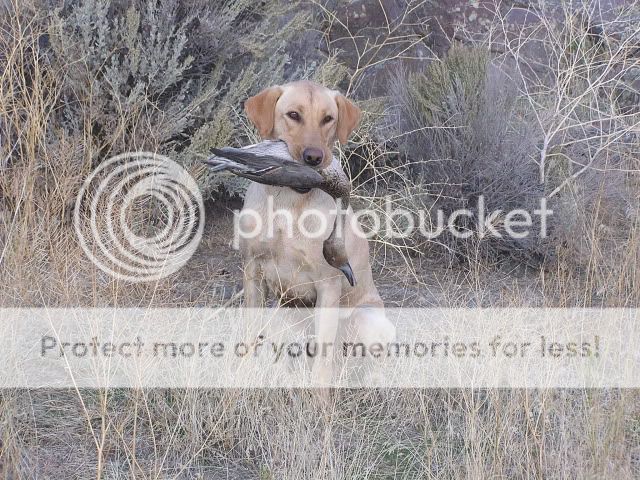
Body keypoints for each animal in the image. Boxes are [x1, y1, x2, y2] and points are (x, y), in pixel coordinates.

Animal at [239, 80, 392, 384]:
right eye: (293, 115)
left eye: (328, 118)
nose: (313, 158)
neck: (287, 203)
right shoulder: (253, 271)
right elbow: (251, 333)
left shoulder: (328, 284)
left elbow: (322, 362)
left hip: (367, 319)